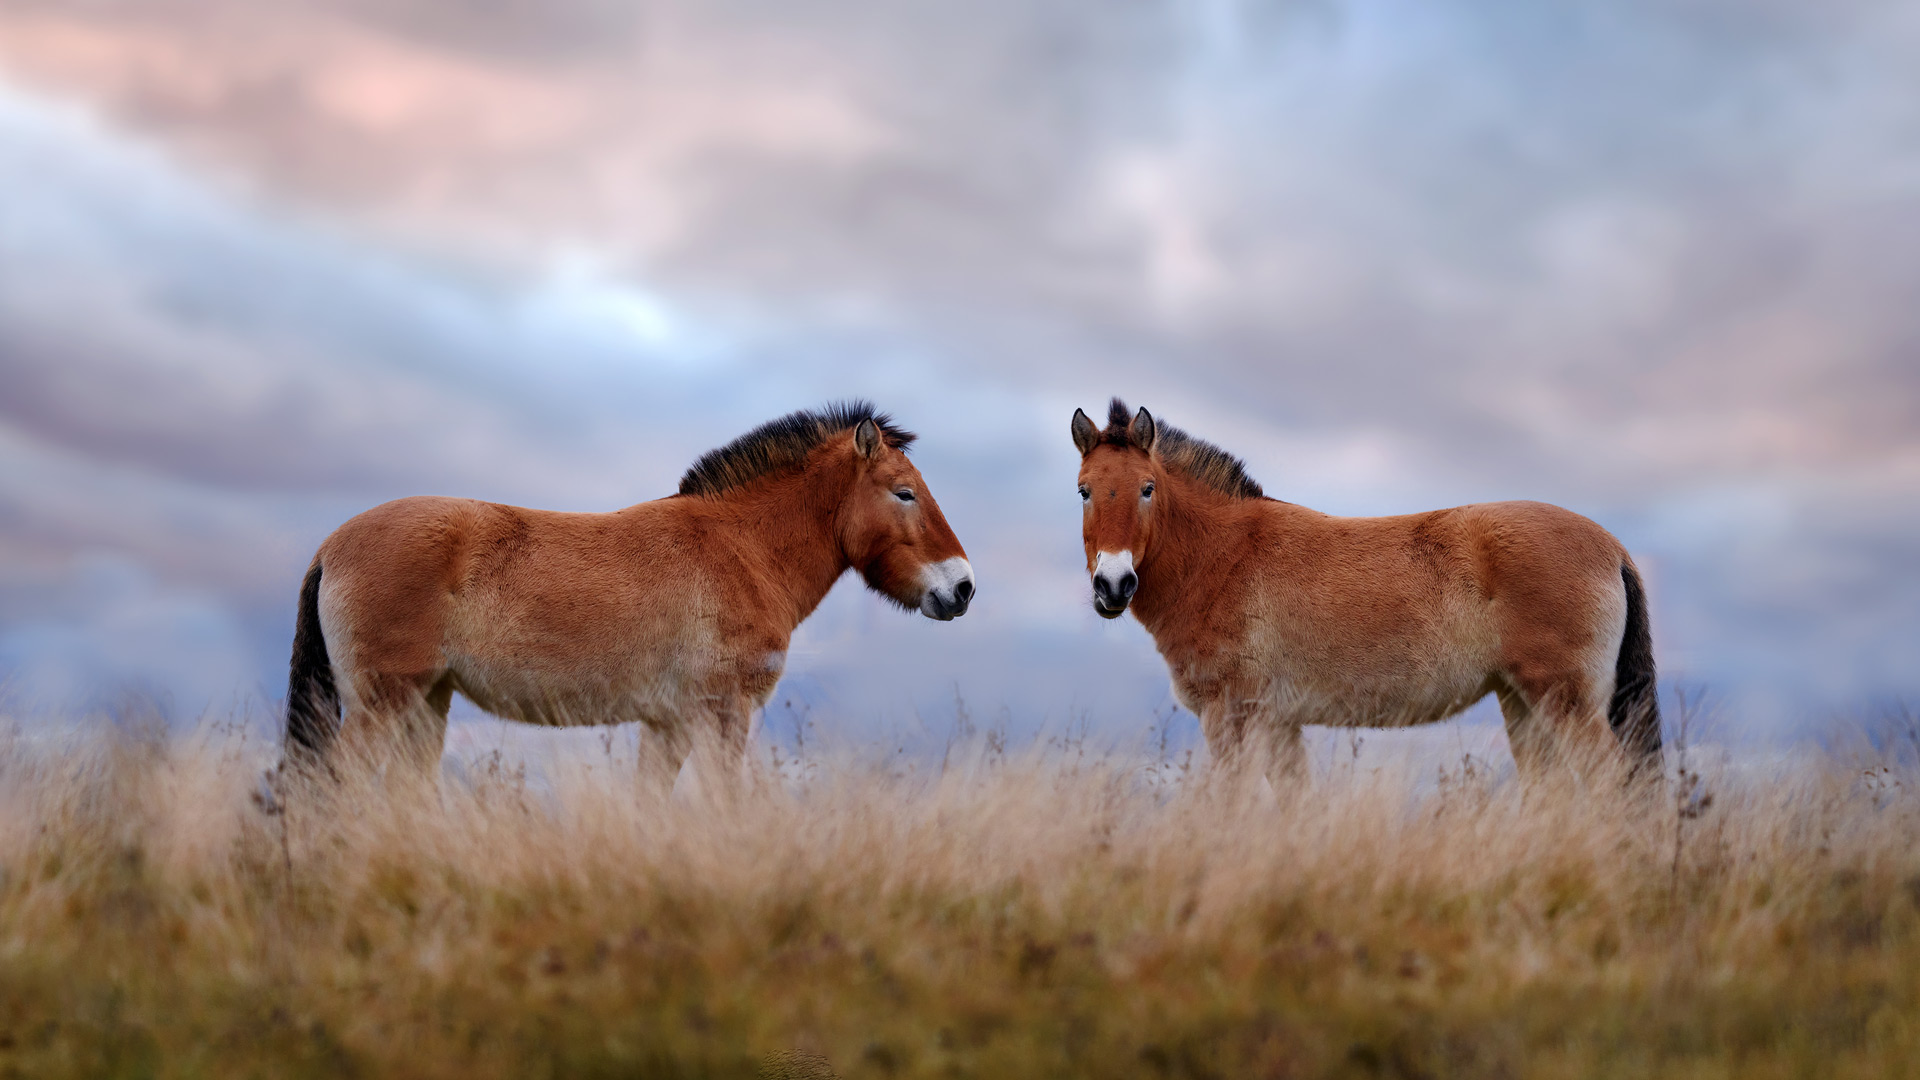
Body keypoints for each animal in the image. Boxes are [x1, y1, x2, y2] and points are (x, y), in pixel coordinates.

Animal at [285, 402, 974, 788]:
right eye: (904, 492)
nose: (963, 587)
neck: (741, 548)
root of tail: (330, 546)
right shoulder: (722, 716)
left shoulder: (667, 725)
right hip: (382, 704)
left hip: (427, 702)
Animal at [1071, 398, 1660, 788]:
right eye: (1083, 491)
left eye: (1148, 489)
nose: (1114, 586)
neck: (1223, 554)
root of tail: (1613, 547)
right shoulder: (1279, 723)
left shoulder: (1231, 716)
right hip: (1522, 703)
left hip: (1565, 703)